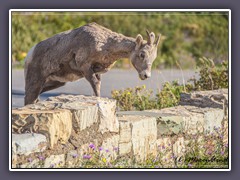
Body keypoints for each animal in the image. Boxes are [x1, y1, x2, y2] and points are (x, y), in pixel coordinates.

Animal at [23, 22, 161, 105]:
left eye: (154, 57)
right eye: (142, 54)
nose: (146, 75)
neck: (105, 44)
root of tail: (29, 55)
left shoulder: (97, 72)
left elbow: (97, 88)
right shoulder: (86, 69)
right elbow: (95, 88)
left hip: (57, 82)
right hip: (35, 81)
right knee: (28, 99)